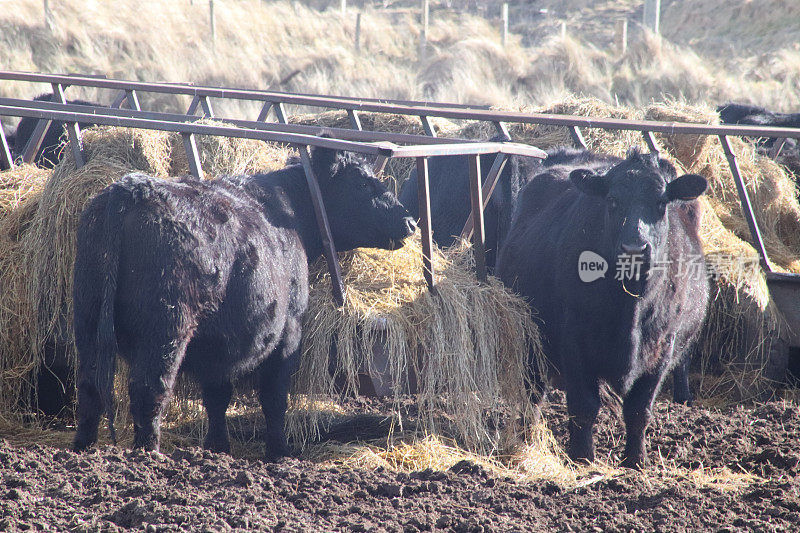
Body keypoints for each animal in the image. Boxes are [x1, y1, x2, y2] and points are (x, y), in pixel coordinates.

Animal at [72, 147, 416, 462]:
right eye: (362, 182)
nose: (410, 221)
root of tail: (131, 189)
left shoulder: (219, 341)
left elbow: (217, 396)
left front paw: (217, 449)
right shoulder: (289, 328)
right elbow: (274, 398)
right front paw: (279, 453)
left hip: (88, 319)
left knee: (89, 388)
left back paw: (82, 451)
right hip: (165, 329)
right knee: (149, 389)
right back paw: (148, 455)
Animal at [496, 148, 708, 468]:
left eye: (661, 203)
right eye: (612, 200)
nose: (634, 248)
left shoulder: (663, 347)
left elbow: (639, 410)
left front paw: (636, 460)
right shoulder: (573, 340)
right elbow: (583, 406)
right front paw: (582, 457)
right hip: (531, 337)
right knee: (532, 393)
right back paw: (526, 439)